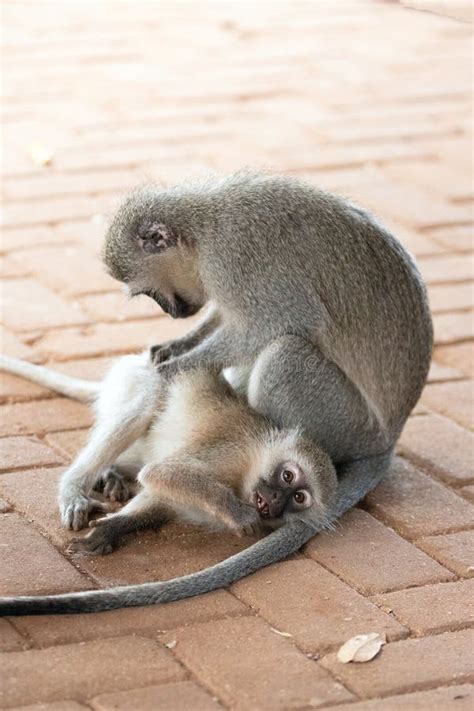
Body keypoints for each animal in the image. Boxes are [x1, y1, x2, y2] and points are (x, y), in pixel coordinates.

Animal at [0, 354, 336, 616]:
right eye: (288, 476)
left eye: (299, 497)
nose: (276, 499)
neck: (248, 473)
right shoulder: (230, 452)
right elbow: (162, 473)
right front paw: (236, 512)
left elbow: (159, 498)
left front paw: (113, 528)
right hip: (137, 379)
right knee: (145, 403)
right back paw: (75, 487)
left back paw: (111, 475)